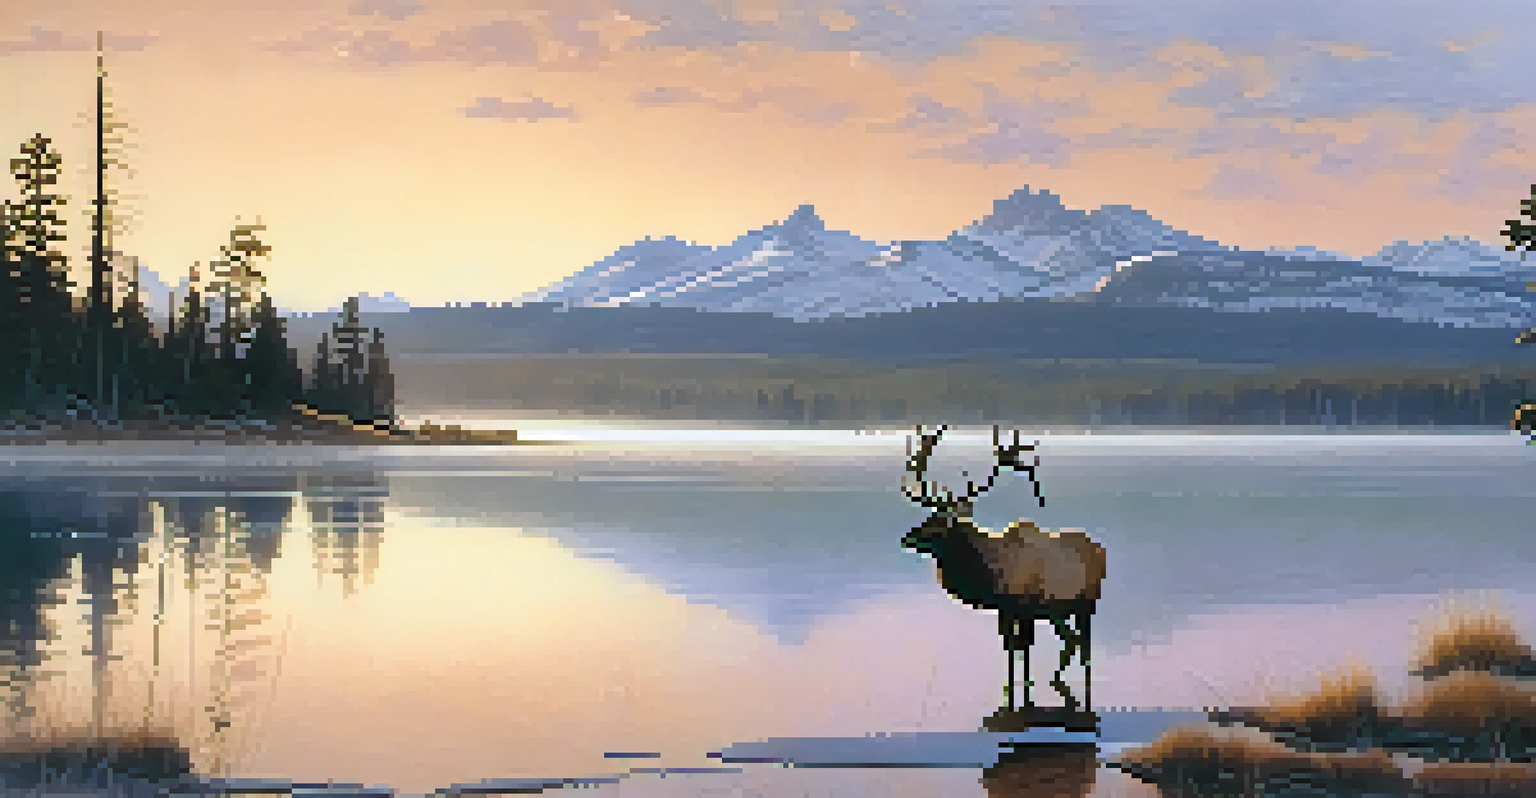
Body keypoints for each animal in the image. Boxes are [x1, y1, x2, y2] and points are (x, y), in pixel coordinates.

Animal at [900, 425, 1106, 717]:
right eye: (927, 518)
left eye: (938, 525)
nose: (906, 538)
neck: (989, 574)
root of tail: (1101, 550)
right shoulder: (1006, 609)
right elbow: (1010, 648)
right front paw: (1009, 692)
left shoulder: (1025, 607)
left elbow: (1024, 649)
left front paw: (1024, 696)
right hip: (1058, 610)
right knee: (1071, 640)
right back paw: (1057, 679)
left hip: (1087, 602)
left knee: (1084, 644)